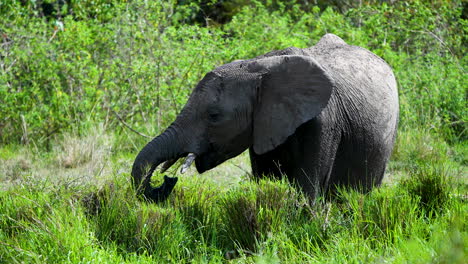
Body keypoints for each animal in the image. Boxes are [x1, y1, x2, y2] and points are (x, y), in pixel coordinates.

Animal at [131, 33, 398, 202]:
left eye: (214, 116)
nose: (168, 181)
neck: (261, 67)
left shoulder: (324, 122)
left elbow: (308, 186)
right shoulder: (262, 125)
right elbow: (266, 181)